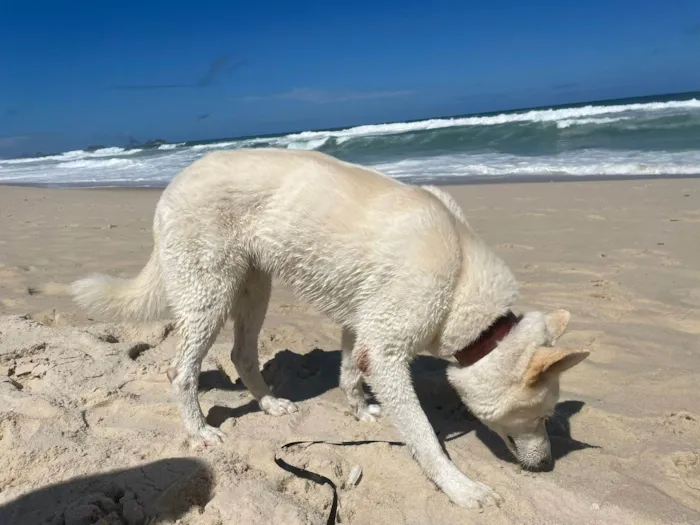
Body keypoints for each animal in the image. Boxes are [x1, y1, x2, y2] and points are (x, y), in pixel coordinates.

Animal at [72, 148, 584, 508]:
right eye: (542, 418)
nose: (546, 468)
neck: (460, 280)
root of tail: (173, 183)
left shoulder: (366, 329)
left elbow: (349, 372)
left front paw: (360, 412)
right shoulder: (388, 351)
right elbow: (425, 438)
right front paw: (462, 489)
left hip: (253, 286)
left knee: (241, 354)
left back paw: (271, 404)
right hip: (209, 293)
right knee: (181, 371)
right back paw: (199, 431)